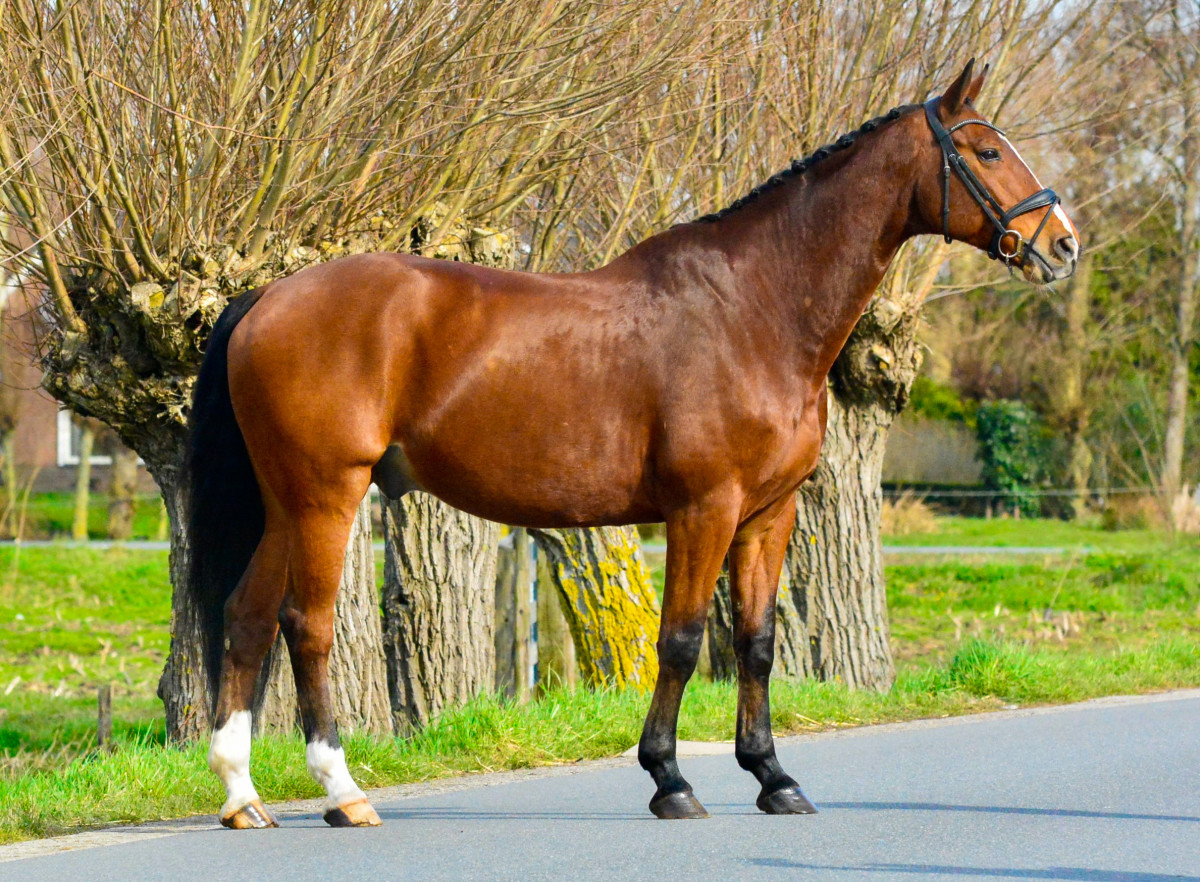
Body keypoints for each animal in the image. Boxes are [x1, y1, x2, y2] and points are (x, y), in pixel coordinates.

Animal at [189, 60, 1080, 825]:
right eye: (986, 150)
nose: (1063, 244)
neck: (754, 308)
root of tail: (267, 296)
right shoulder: (703, 508)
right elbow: (681, 642)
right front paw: (670, 779)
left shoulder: (769, 515)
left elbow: (756, 644)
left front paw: (774, 777)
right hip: (328, 492)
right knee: (306, 624)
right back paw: (342, 792)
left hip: (286, 500)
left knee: (247, 616)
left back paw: (243, 796)